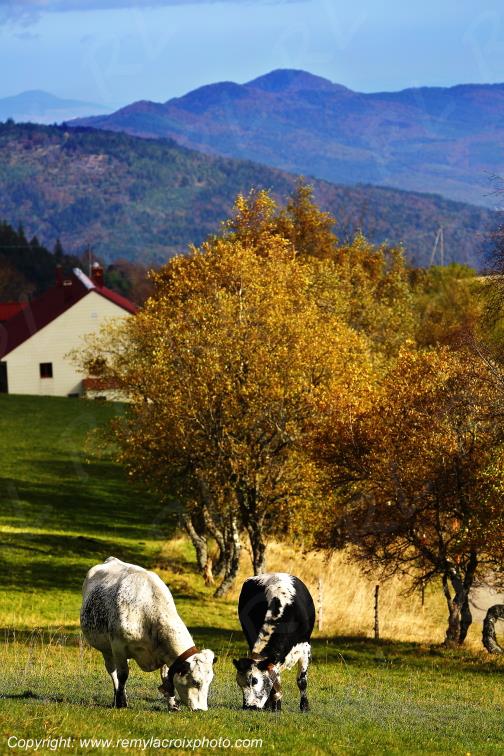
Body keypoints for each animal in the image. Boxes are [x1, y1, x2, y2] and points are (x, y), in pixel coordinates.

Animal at [80, 557, 216, 711]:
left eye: (209, 681)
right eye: (195, 682)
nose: (202, 710)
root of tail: (111, 559)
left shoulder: (165, 653)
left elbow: (166, 678)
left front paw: (172, 705)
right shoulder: (118, 647)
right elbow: (122, 675)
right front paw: (121, 703)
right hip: (107, 650)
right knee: (113, 673)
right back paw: (118, 699)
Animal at [233, 573, 315, 712]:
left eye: (254, 680)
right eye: (239, 683)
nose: (249, 707)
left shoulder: (305, 648)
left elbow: (302, 681)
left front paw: (305, 707)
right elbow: (275, 679)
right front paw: (275, 706)